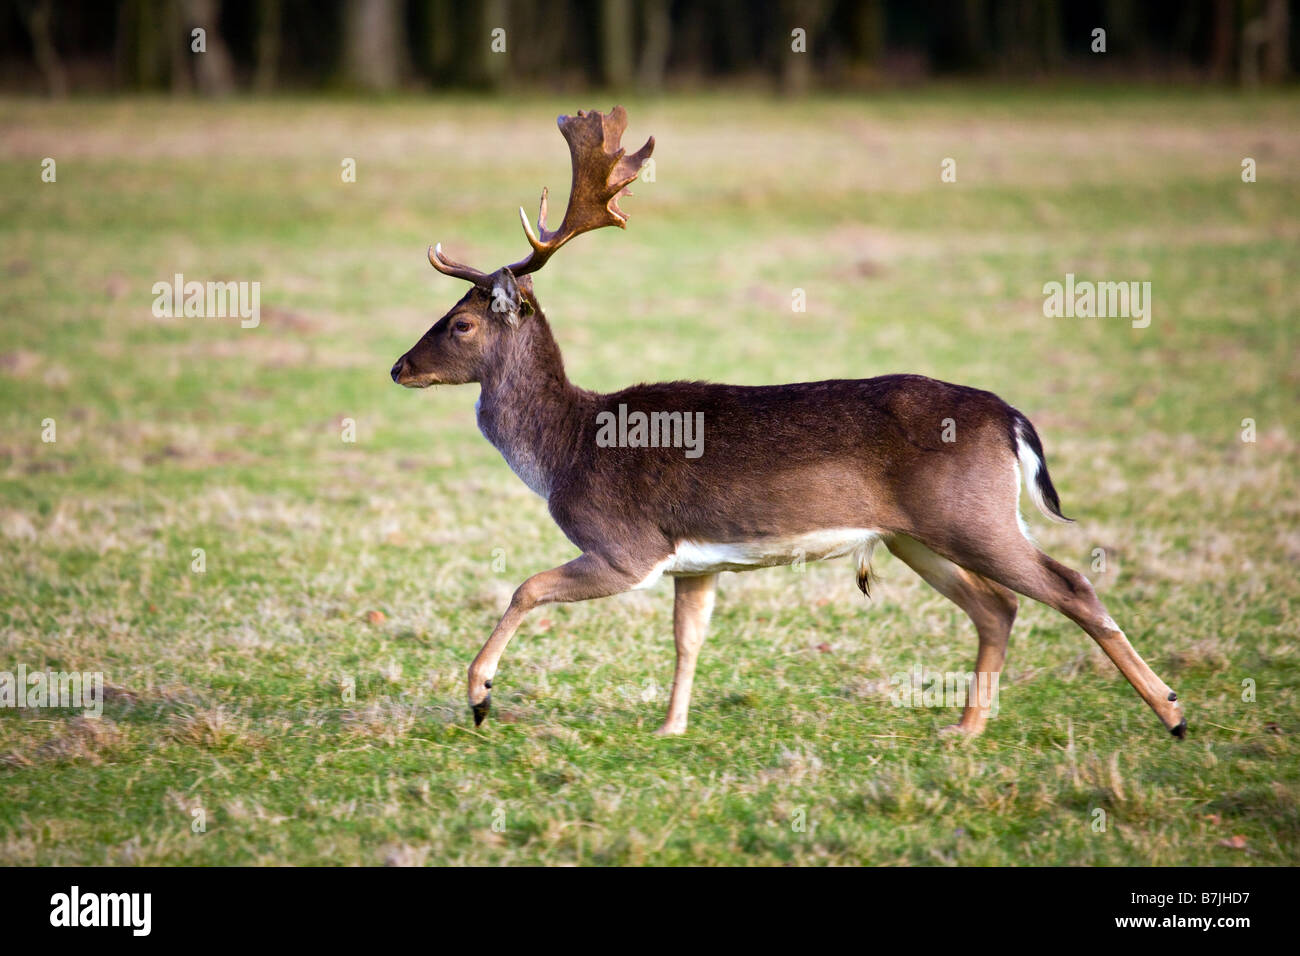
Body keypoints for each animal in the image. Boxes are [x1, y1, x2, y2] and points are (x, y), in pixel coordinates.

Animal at [390, 106, 1186, 740]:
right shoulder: (695, 562)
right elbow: (687, 641)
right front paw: (671, 727)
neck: (566, 449)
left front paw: (479, 695)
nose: (398, 367)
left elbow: (526, 587)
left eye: (460, 324)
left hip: (971, 514)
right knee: (997, 609)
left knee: (1069, 586)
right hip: (912, 533)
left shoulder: (625, 545)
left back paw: (1172, 712)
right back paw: (965, 728)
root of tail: (1011, 418)